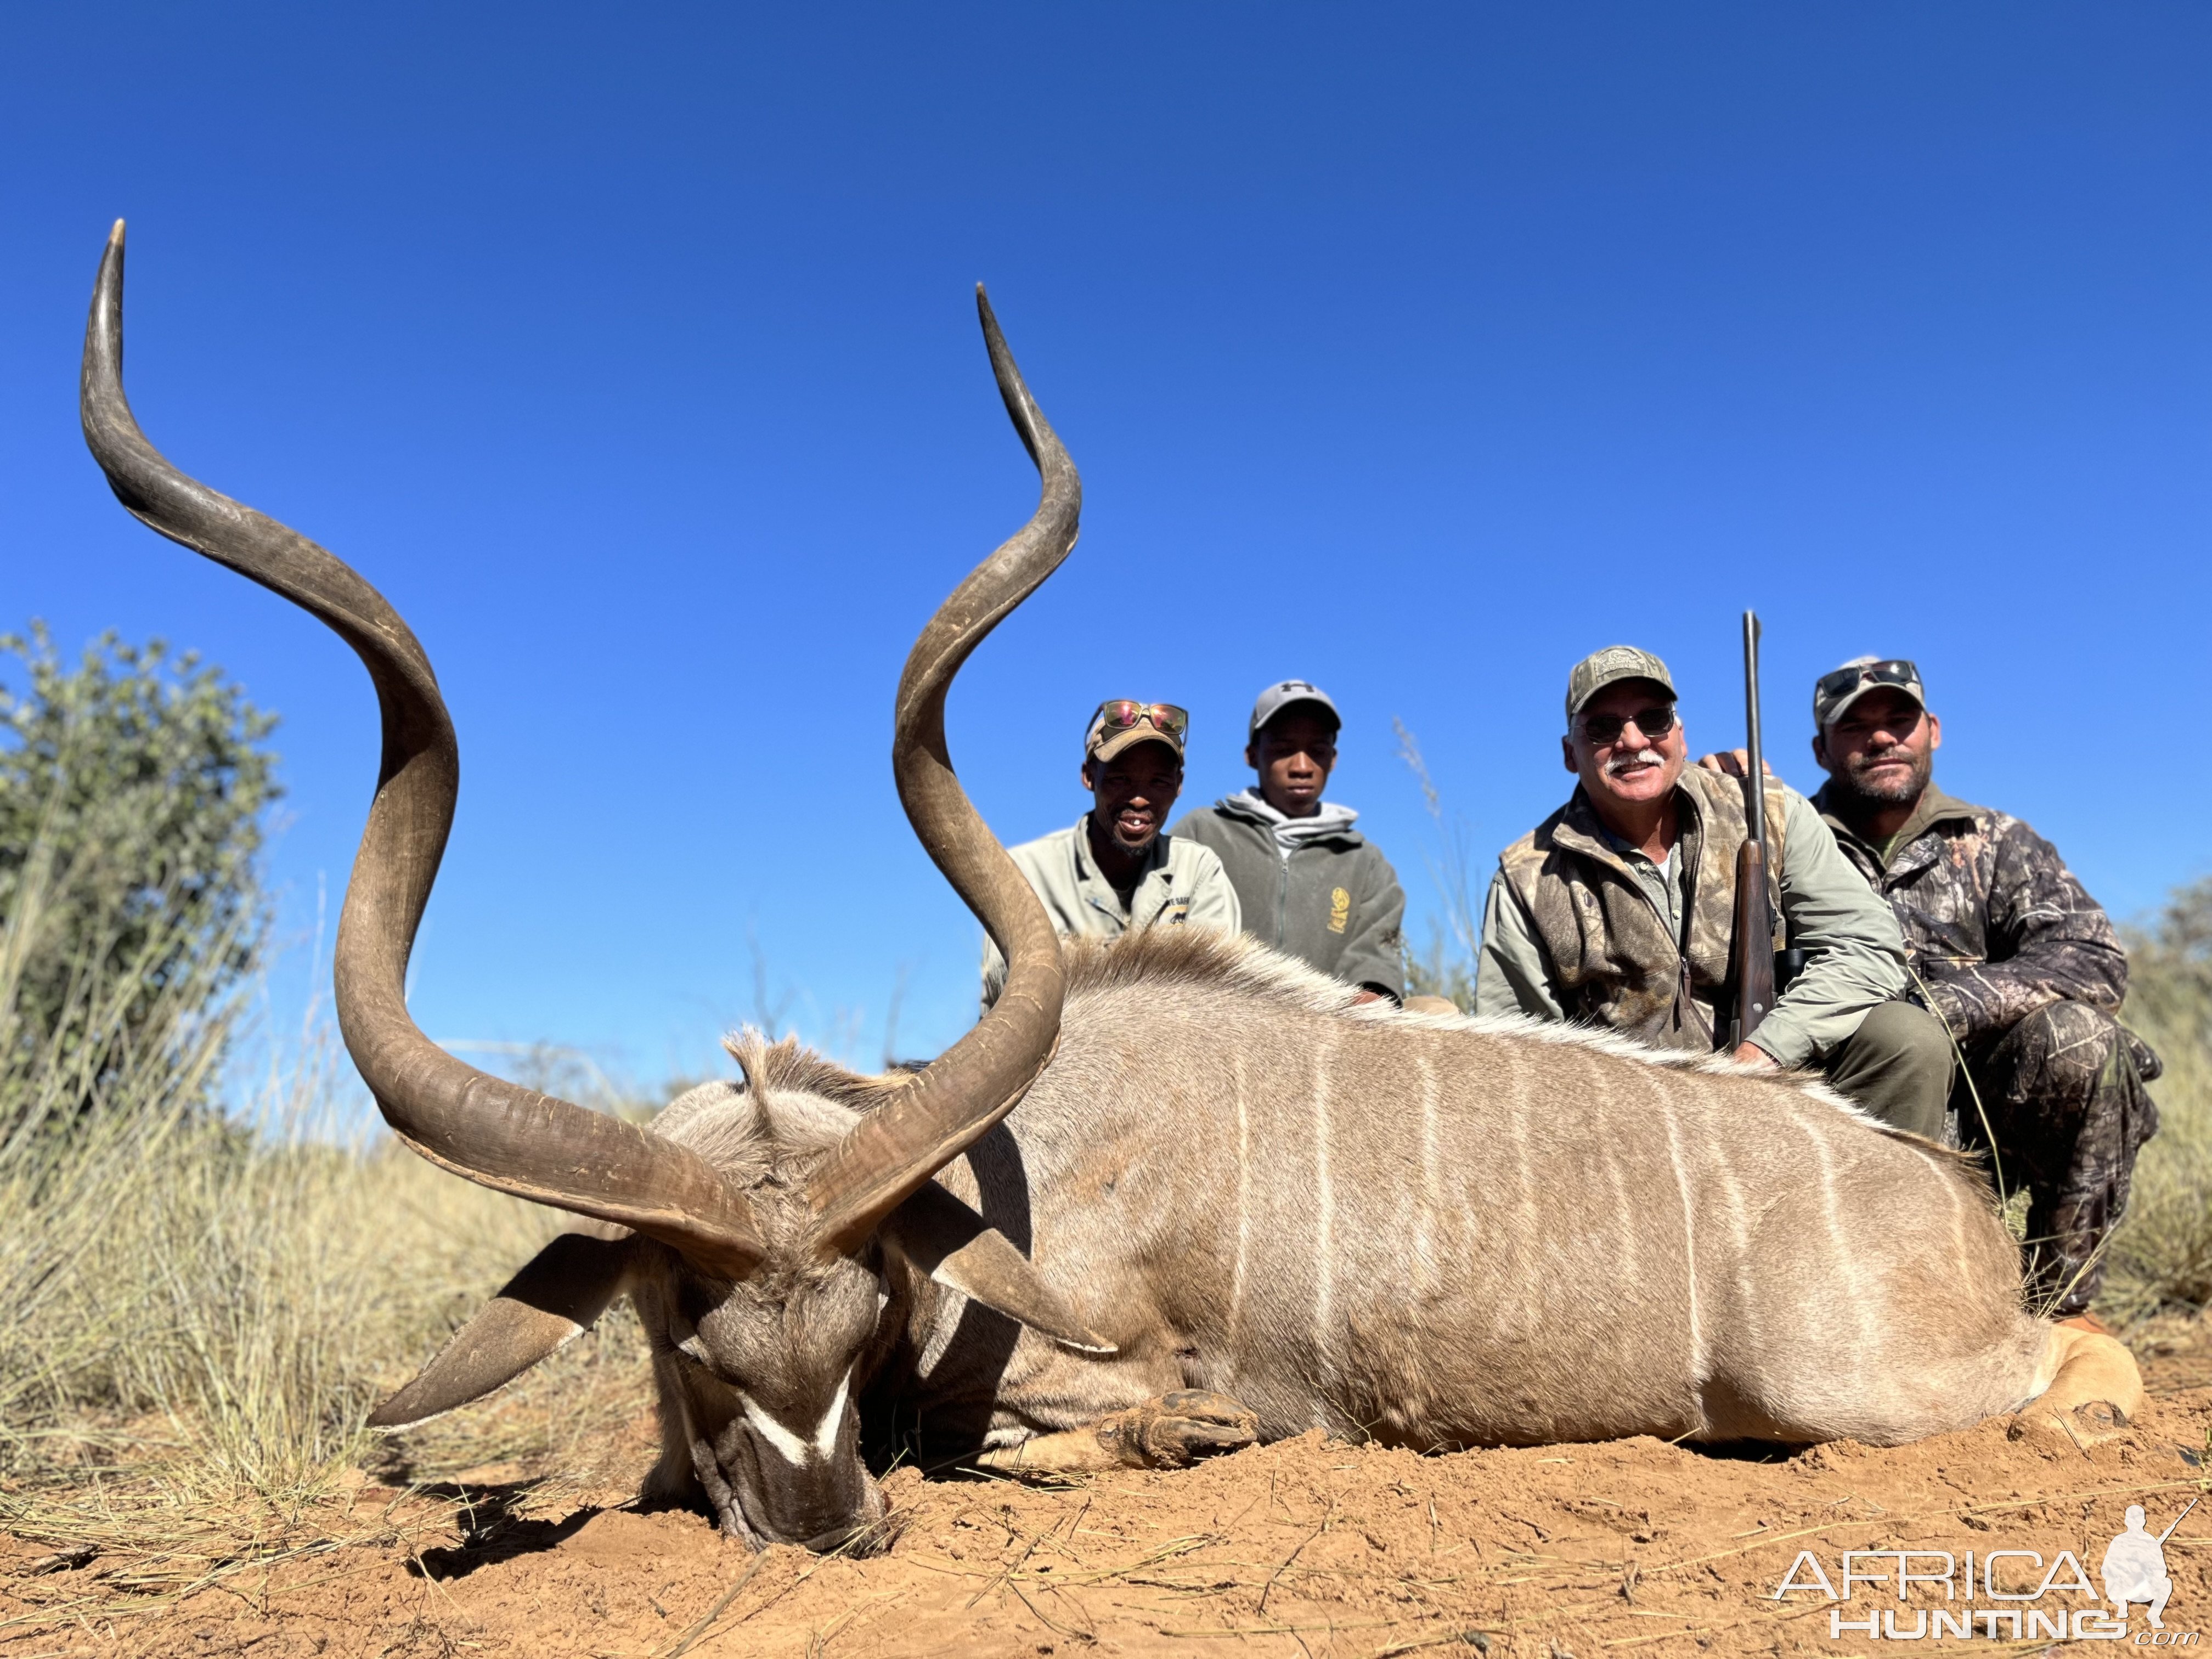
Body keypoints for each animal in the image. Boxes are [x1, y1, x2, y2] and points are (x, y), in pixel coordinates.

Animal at [86, 224, 2141, 1557]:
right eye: (679, 1327)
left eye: (863, 1317)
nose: (827, 1523)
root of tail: (1942, 1205)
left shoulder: (1088, 1369)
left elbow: (1109, 1425)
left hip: (1851, 1384)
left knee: (2081, 1357)